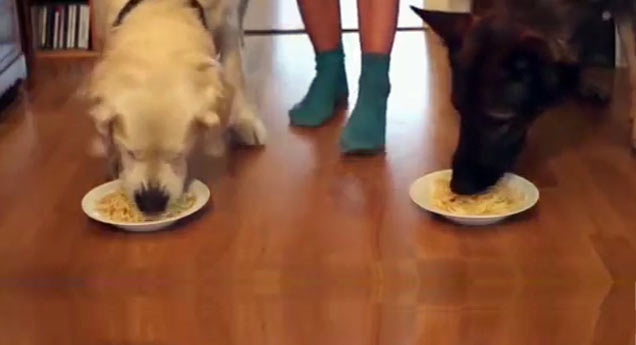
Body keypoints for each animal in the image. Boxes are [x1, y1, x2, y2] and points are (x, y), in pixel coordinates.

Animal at [87, 0, 264, 214]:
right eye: (130, 152)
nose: (151, 202)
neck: (163, 8)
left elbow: (233, 70)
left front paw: (244, 120)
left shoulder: (227, 20)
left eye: (178, 154)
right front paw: (113, 158)